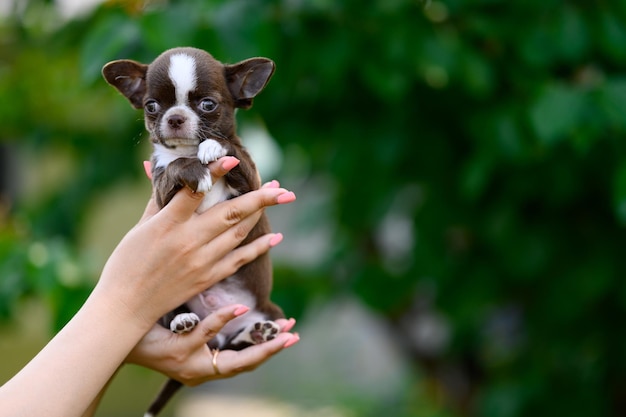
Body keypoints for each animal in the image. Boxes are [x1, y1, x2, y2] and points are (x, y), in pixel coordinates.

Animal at [102, 45, 282, 416]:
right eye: (151, 106)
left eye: (208, 104)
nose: (174, 118)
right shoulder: (161, 190)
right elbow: (174, 166)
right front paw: (193, 168)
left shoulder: (251, 184)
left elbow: (232, 151)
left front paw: (213, 147)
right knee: (198, 328)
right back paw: (183, 321)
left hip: (270, 311)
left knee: (233, 346)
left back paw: (255, 334)